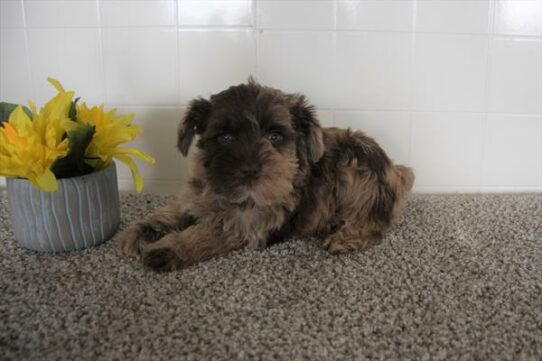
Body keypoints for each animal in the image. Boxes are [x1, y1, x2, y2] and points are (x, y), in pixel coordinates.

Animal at [118, 78, 416, 270]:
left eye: (275, 136)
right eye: (224, 137)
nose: (251, 170)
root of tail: (396, 170)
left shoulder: (247, 223)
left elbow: (206, 233)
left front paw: (167, 248)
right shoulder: (197, 197)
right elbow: (174, 212)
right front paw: (143, 230)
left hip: (355, 169)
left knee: (374, 224)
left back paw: (346, 238)